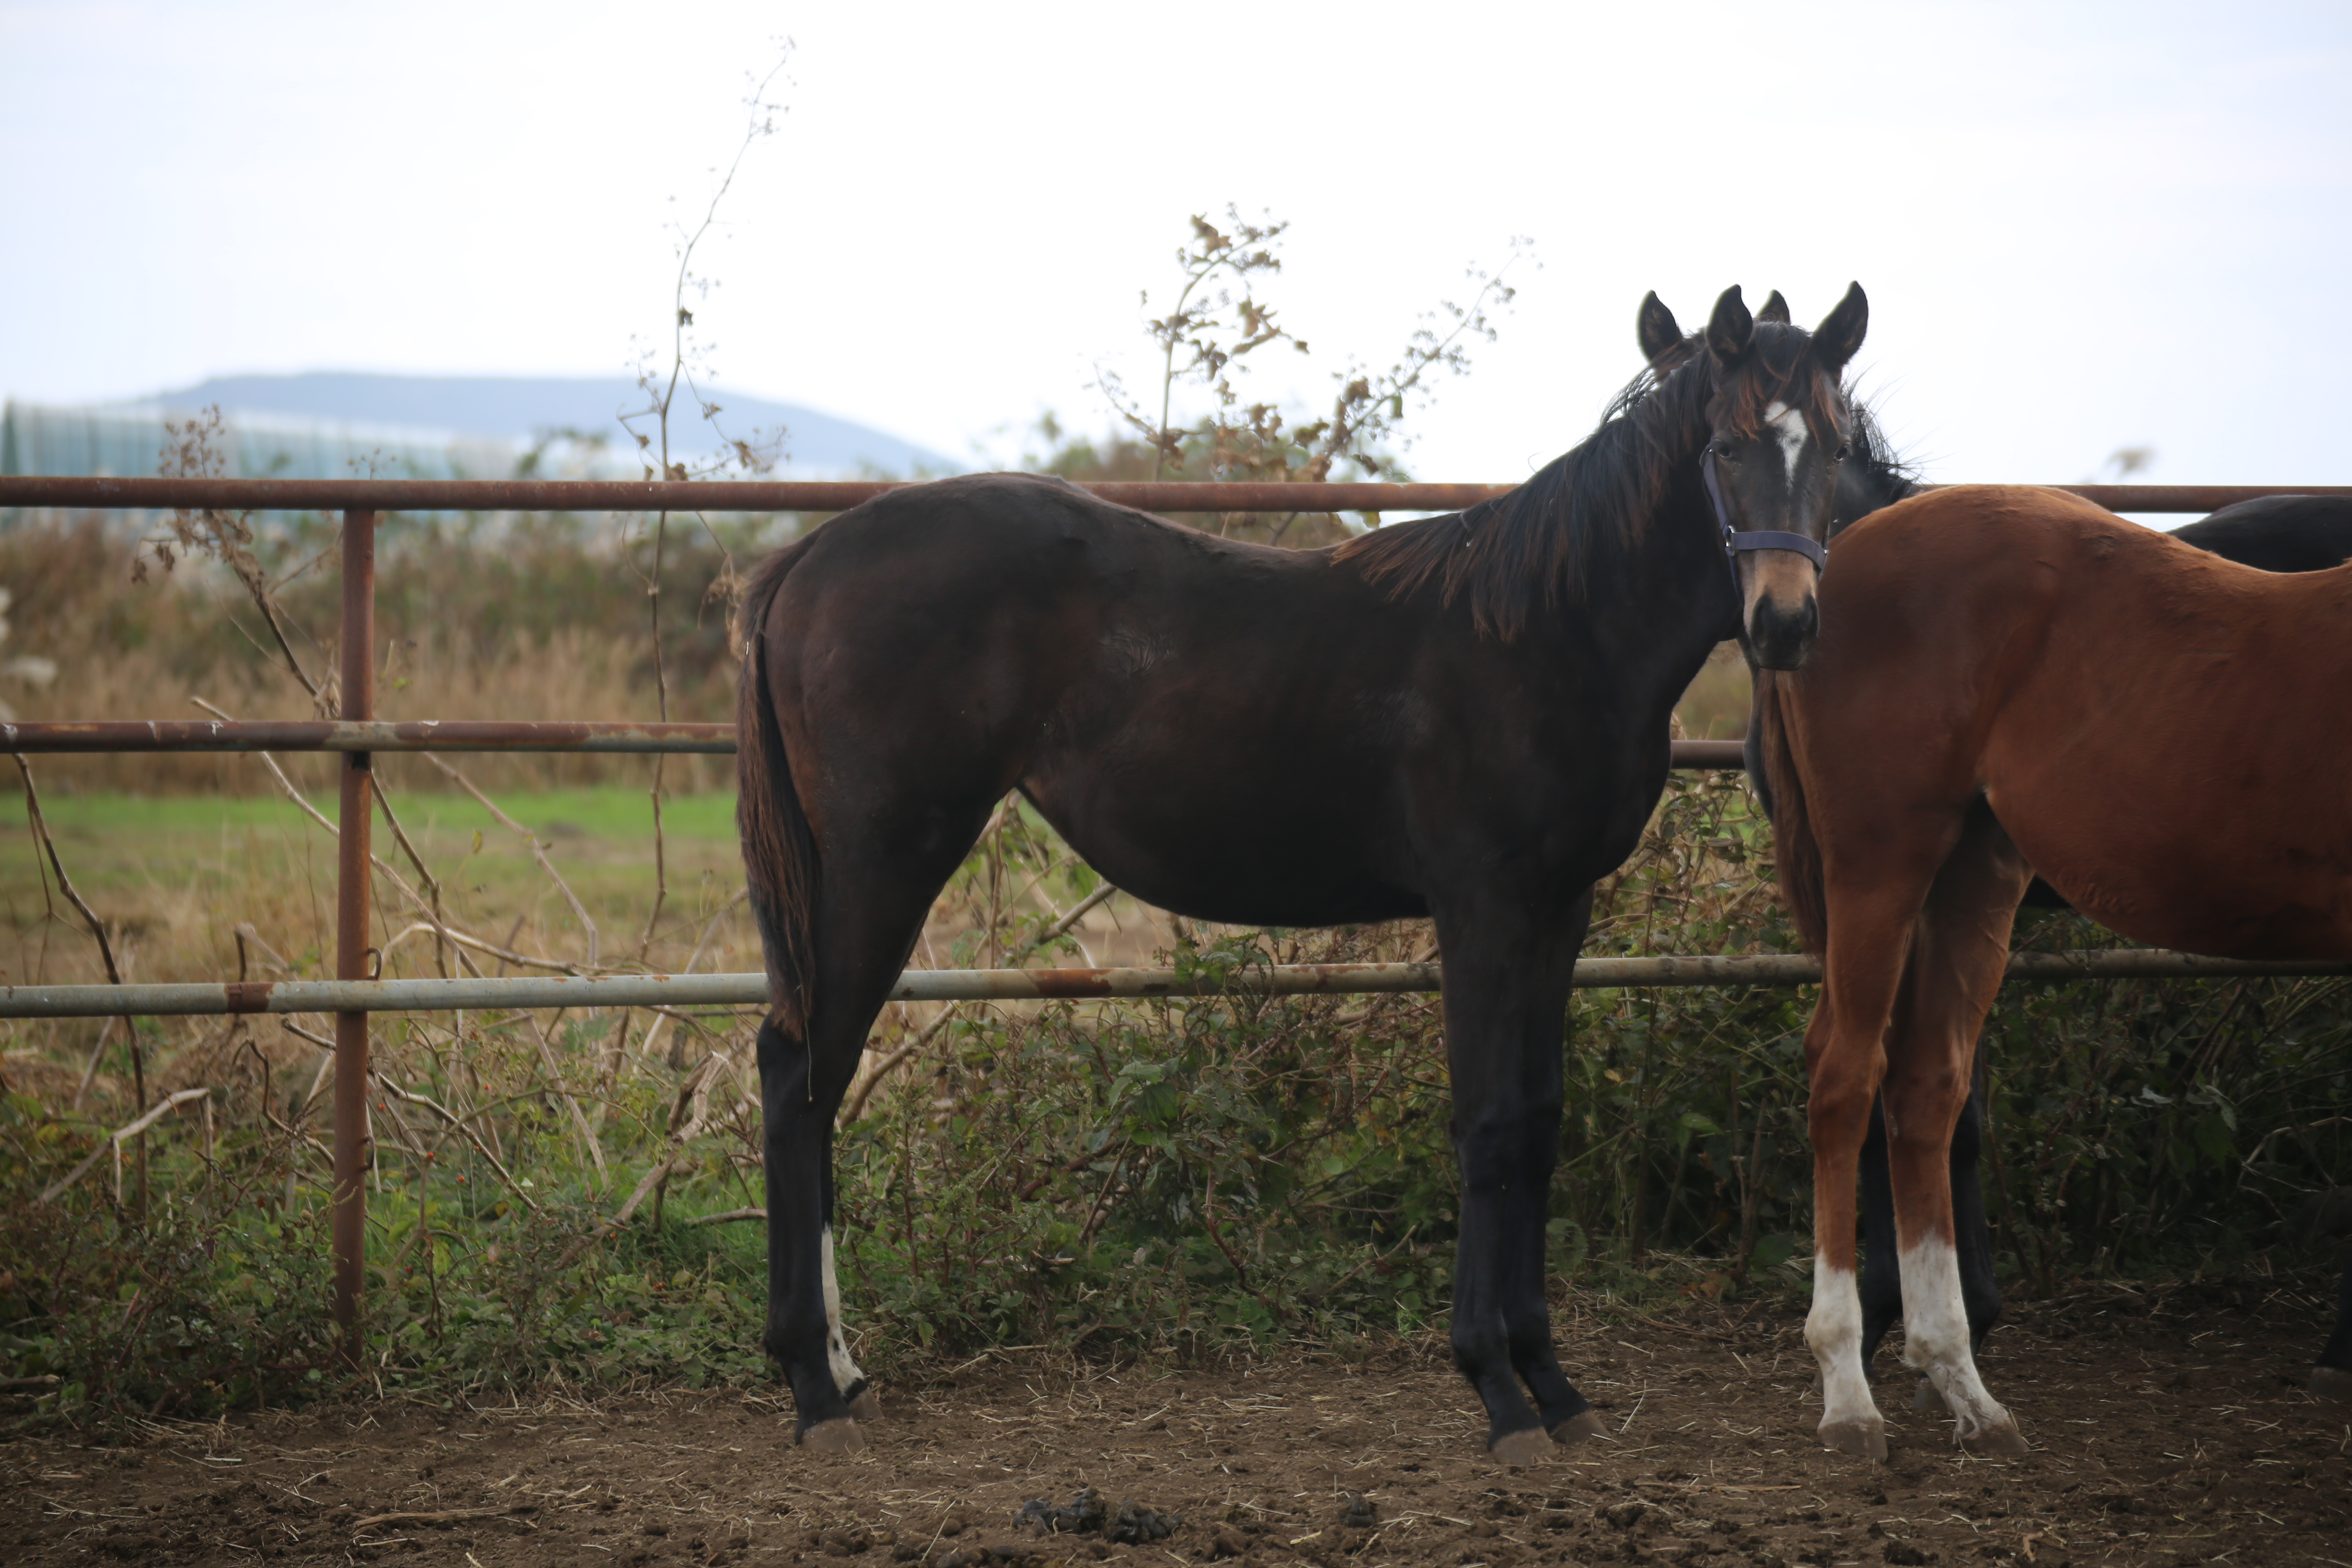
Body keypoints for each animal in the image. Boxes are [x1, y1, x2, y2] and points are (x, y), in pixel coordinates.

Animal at [734, 282, 1872, 1457]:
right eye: (1728, 445)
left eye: (1841, 445)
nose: (1786, 623)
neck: (1551, 629)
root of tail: (806, 559)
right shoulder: (1483, 908)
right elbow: (1487, 1125)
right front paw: (1498, 1388)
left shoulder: (1560, 910)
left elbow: (1540, 1121)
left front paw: (1553, 1382)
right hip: (882, 865)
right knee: (799, 1073)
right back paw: (813, 1385)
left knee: (818, 1082)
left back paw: (841, 1369)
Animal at [1759, 482, 2352, 1457]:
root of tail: (1838, 563)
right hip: (1881, 863)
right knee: (1845, 1077)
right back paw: (1849, 1396)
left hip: (1976, 869)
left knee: (1926, 1087)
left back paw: (1964, 1384)